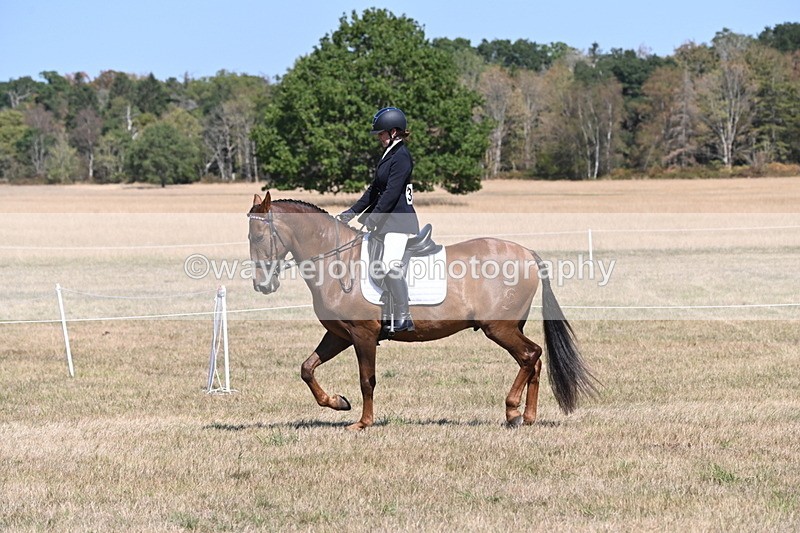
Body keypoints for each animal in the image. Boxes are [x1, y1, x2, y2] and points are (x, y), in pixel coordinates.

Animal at [248, 192, 598, 430]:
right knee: (533, 360)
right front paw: (338, 403)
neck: (336, 261)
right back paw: (528, 416)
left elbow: (367, 379)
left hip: (499, 327)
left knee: (530, 355)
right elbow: (307, 369)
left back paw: (512, 411)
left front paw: (363, 423)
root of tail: (527, 253)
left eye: (259, 236)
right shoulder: (340, 335)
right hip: (510, 327)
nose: (262, 285)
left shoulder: (363, 334)